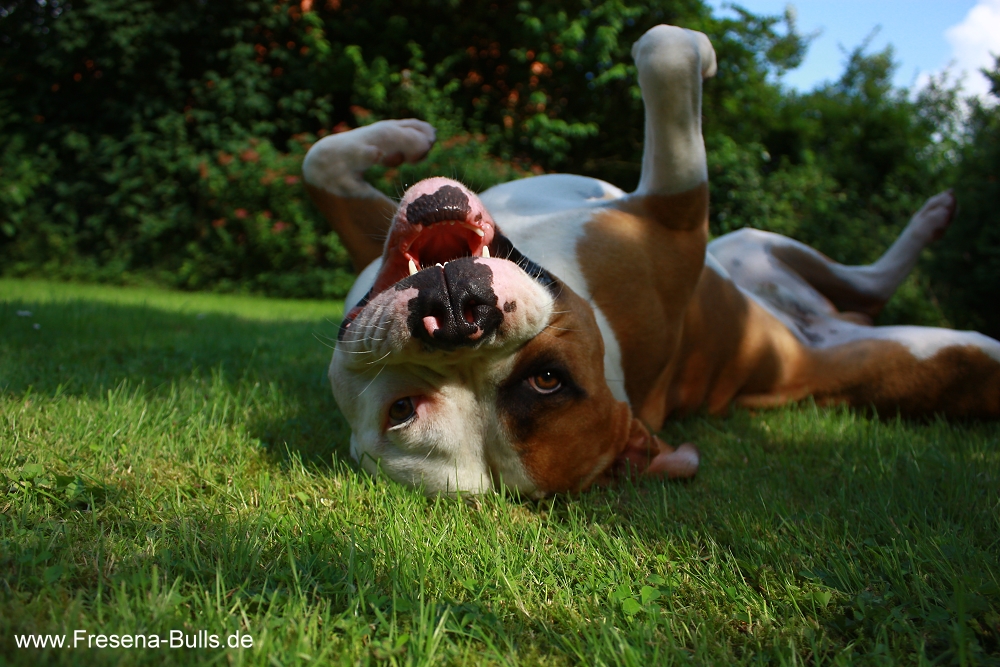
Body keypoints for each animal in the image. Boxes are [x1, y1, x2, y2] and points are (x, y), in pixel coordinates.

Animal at [300, 24, 1000, 496]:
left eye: (548, 379)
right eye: (402, 411)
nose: (458, 313)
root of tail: (810, 340)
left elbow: (318, 161)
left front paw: (402, 136)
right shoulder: (675, 215)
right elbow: (663, 54)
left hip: (755, 244)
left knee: (863, 279)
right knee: (875, 289)